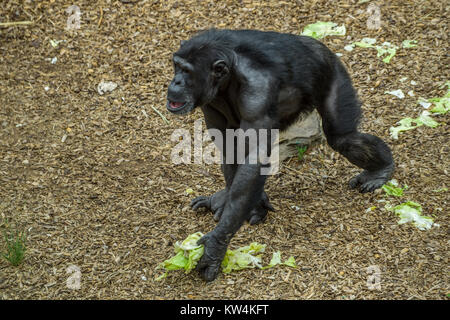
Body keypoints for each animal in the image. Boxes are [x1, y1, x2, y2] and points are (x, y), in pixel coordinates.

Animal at [165, 28, 394, 282]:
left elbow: (253, 160)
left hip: (334, 74)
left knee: (343, 136)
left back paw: (380, 170)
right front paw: (237, 204)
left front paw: (214, 247)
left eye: (187, 71)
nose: (175, 81)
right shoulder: (210, 102)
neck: (228, 78)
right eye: (176, 66)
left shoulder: (257, 96)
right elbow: (230, 147)